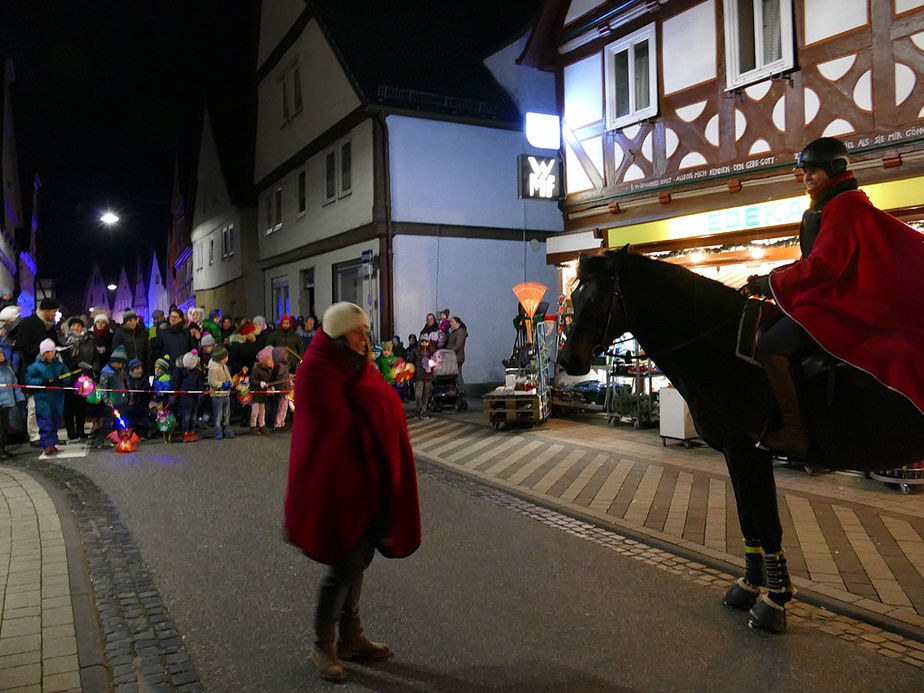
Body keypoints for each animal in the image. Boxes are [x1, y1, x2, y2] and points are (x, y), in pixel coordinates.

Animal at [556, 247, 924, 632]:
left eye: (600, 296)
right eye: (575, 297)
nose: (567, 359)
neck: (719, 346)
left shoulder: (748, 451)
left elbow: (768, 523)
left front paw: (774, 603)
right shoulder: (737, 454)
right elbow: (750, 520)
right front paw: (748, 587)